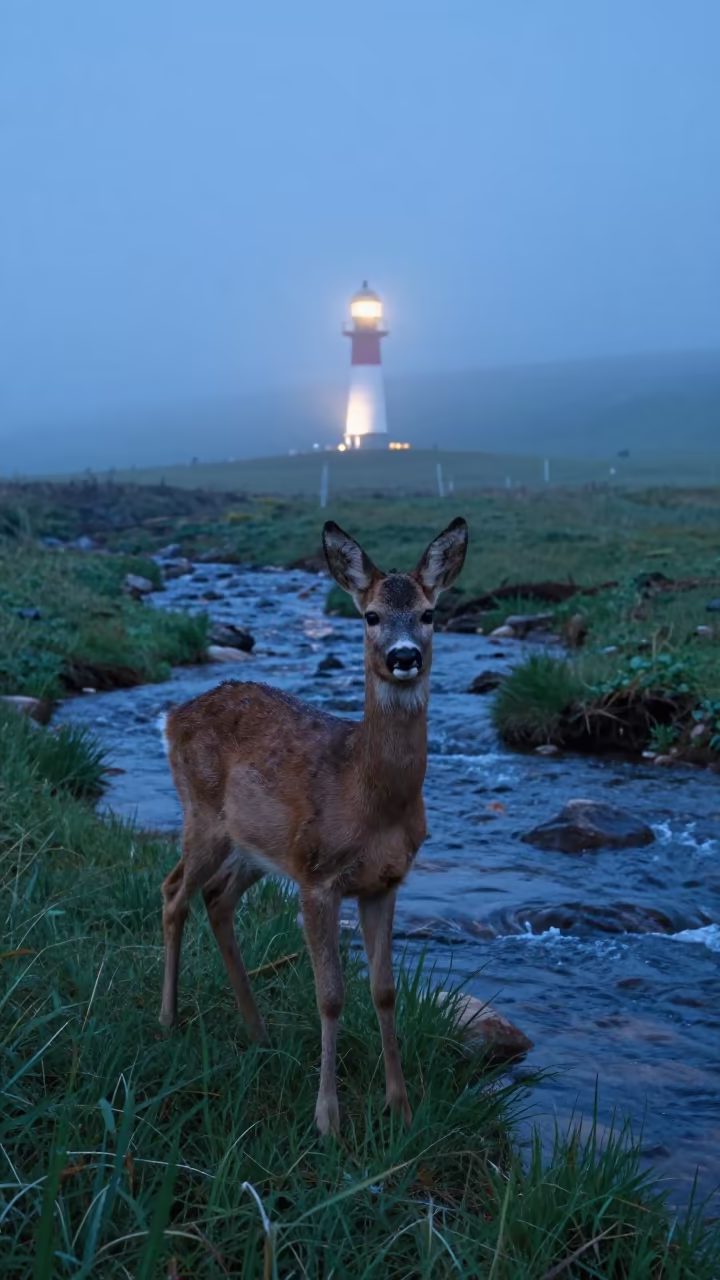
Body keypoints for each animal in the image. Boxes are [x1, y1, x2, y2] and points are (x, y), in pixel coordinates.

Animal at [158, 516, 468, 1134]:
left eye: (429, 613)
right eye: (370, 615)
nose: (403, 656)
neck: (370, 799)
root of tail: (172, 716)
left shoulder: (383, 883)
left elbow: (384, 990)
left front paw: (400, 1108)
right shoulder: (320, 877)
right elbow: (330, 995)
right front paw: (328, 1118)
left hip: (259, 849)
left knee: (215, 898)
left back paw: (257, 1032)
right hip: (203, 816)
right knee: (174, 891)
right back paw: (168, 1020)